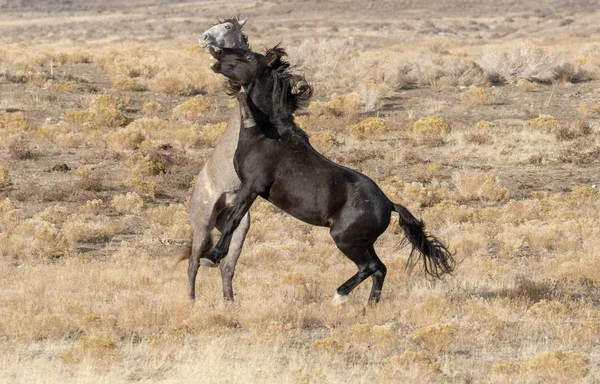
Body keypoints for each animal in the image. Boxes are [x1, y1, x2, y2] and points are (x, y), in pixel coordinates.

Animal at [186, 18, 310, 300]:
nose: (204, 39)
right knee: (193, 263)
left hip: (240, 227)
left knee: (226, 267)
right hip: (202, 222)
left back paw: (229, 302)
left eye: (228, 27)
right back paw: (191, 300)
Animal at [203, 44, 454, 304]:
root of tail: (389, 204)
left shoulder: (252, 186)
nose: (216, 49)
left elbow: (233, 219)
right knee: (380, 269)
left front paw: (213, 256)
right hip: (364, 243)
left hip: (345, 239)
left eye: (248, 56)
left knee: (371, 267)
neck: (266, 134)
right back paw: (368, 307)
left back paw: (339, 297)